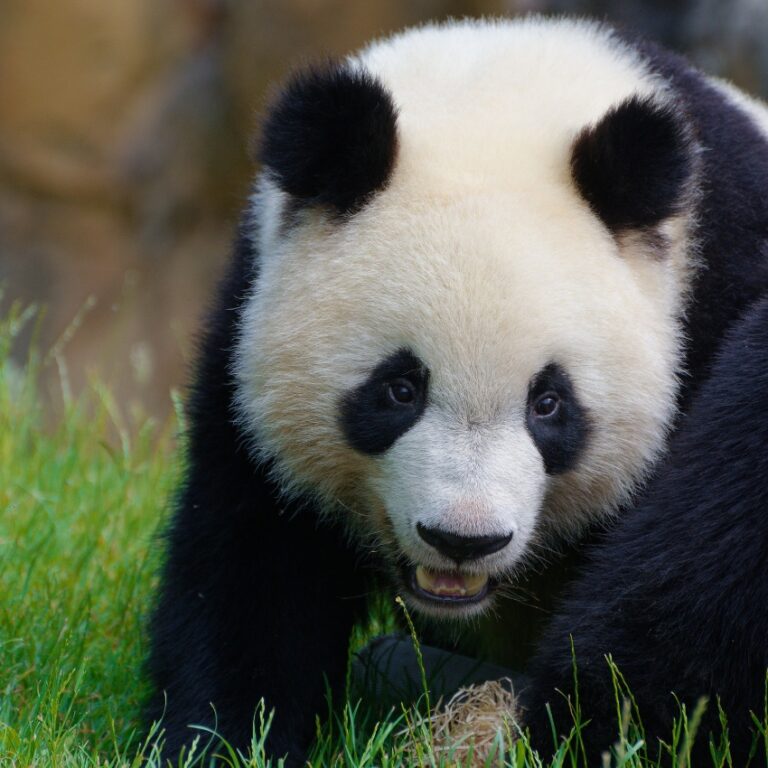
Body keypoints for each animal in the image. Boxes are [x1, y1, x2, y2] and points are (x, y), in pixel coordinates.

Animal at [146, 16, 768, 765]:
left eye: (548, 403)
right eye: (399, 389)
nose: (463, 539)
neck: (499, 91)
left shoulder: (719, 277)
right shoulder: (251, 312)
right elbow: (250, 557)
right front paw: (225, 739)